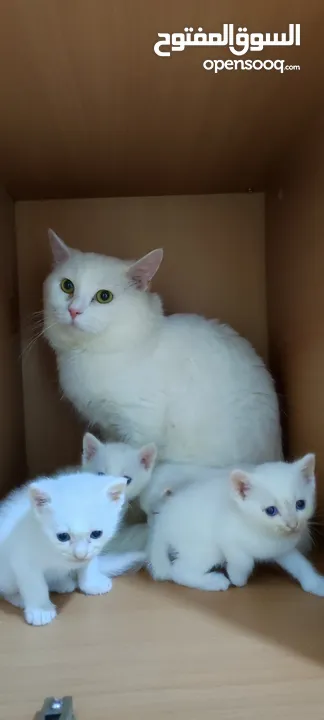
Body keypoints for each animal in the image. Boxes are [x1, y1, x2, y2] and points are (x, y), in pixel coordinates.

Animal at [0, 472, 144, 624]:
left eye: (96, 534)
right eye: (63, 536)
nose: (80, 554)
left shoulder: (92, 552)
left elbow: (89, 564)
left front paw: (92, 583)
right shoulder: (23, 558)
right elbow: (34, 584)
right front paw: (41, 610)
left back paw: (62, 583)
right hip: (6, 575)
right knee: (7, 590)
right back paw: (19, 598)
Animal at [147, 456, 324, 596]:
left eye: (300, 504)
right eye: (271, 510)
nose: (293, 524)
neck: (264, 532)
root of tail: (162, 520)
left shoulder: (282, 548)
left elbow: (301, 564)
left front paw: (315, 584)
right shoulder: (225, 535)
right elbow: (243, 560)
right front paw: (238, 578)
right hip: (205, 548)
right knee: (177, 570)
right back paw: (213, 582)